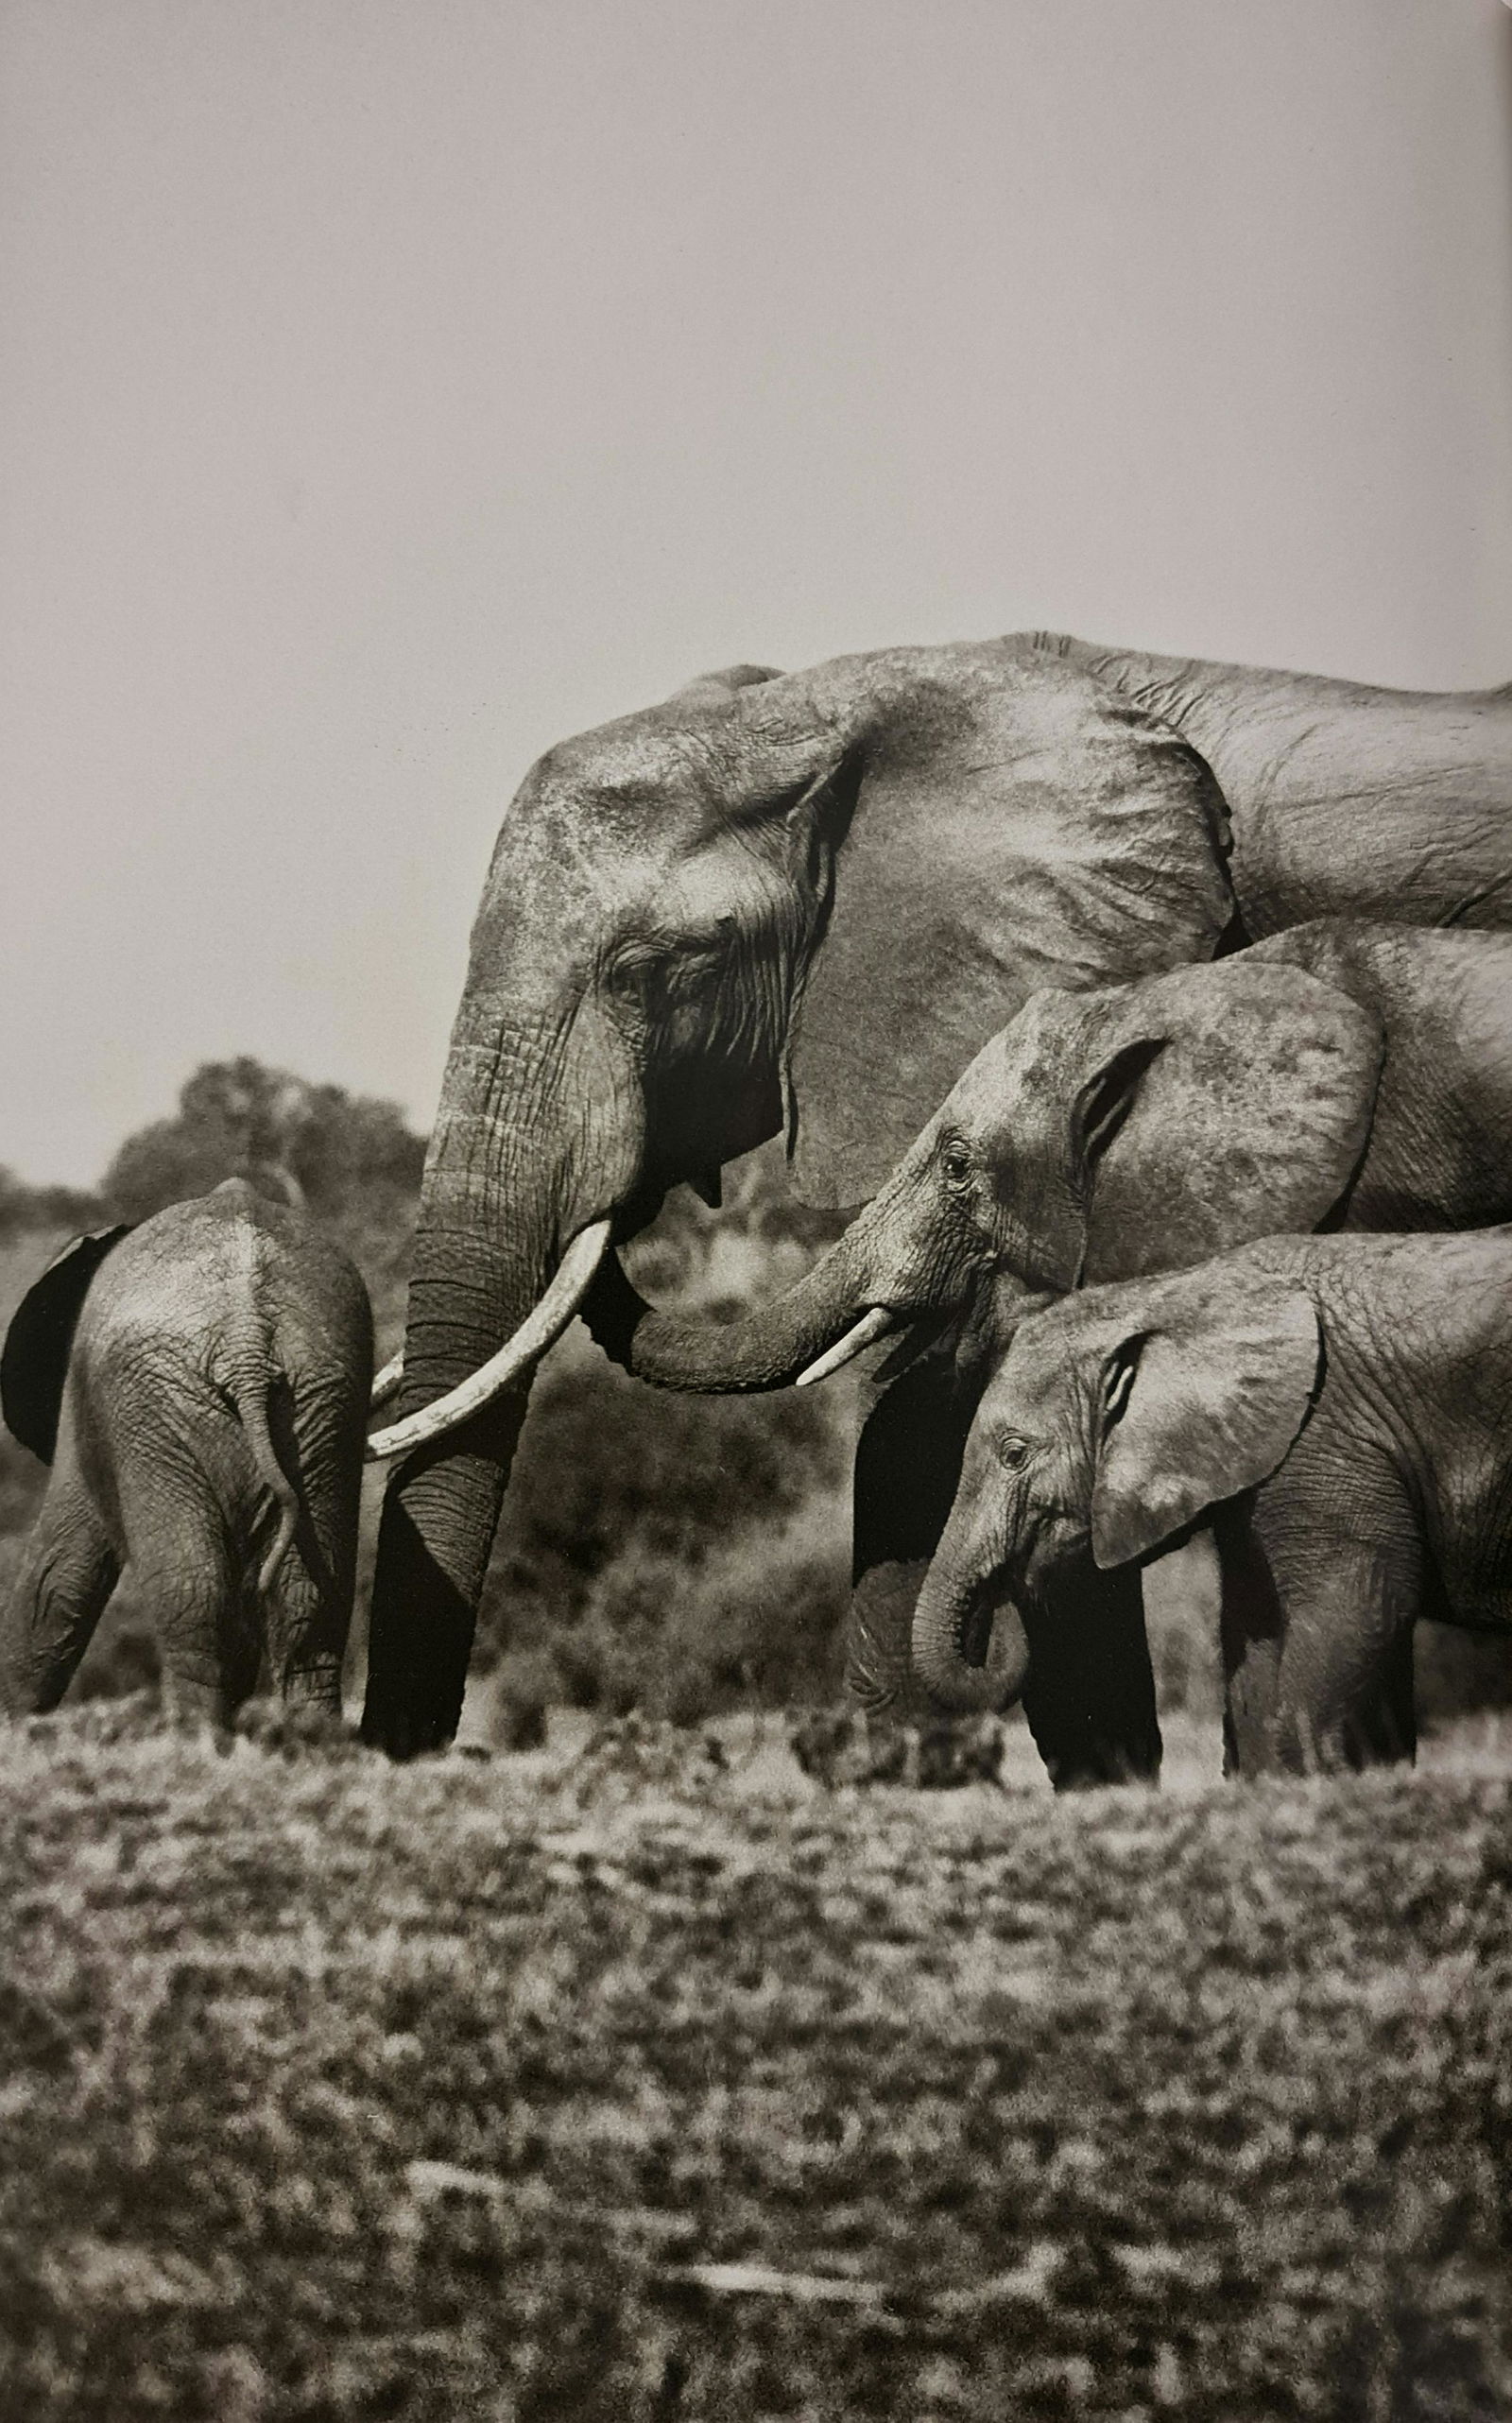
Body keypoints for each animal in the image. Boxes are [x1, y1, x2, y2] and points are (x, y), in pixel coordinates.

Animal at [1, 1180, 373, 1728]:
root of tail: (246, 1333)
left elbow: (58, 1574)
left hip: (157, 1405)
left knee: (195, 1590)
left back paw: (194, 1734)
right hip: (323, 1393)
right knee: (309, 1594)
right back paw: (314, 1737)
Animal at [904, 1226, 1512, 1775]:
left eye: (1014, 1454)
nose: (1008, 1589)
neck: (1173, 1294)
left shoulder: (1326, 1438)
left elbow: (1362, 1604)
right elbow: (1258, 1638)